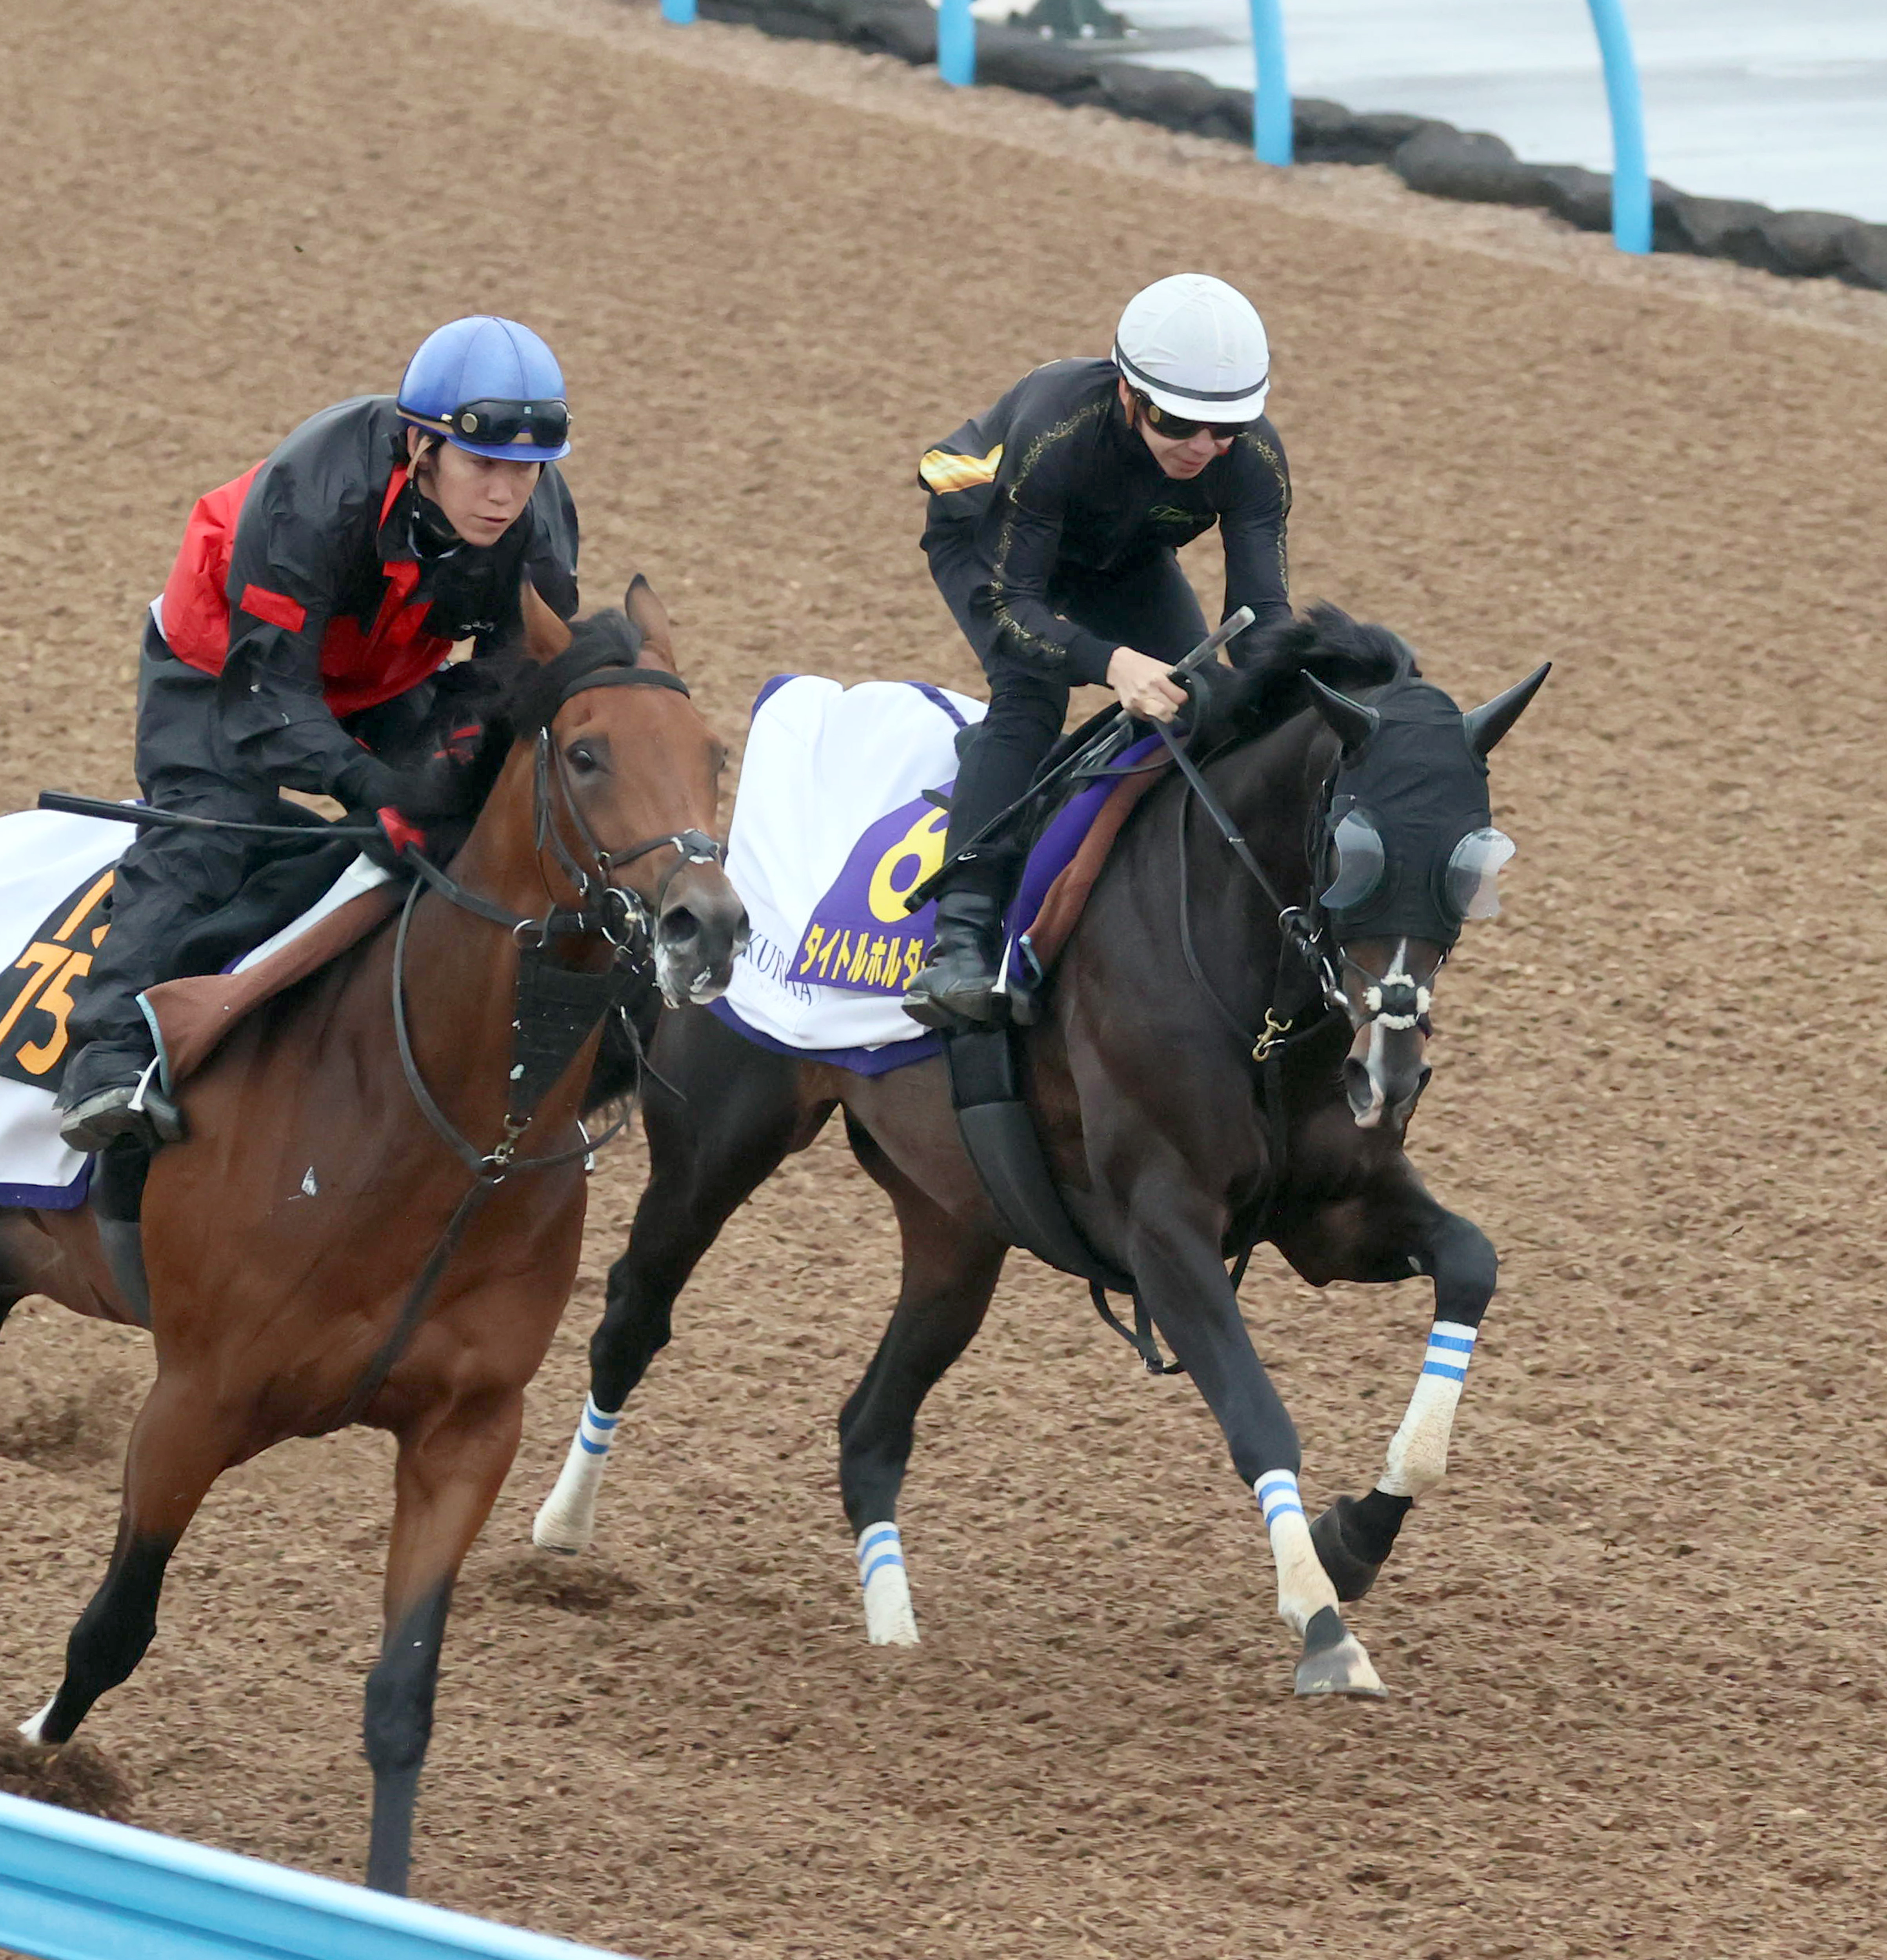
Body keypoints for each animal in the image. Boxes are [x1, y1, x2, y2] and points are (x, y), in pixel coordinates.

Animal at [0, 576, 752, 1882]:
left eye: (712, 754)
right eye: (588, 752)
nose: (705, 925)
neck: (447, 1124)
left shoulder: (468, 1430)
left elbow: (403, 1700)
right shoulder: (193, 1402)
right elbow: (115, 1626)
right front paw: (39, 1752)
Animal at [537, 607, 1544, 1701]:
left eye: (1473, 861)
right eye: (1358, 848)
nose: (1392, 1066)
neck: (1254, 990)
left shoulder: (1333, 1210)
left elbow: (1474, 1264)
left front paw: (1357, 1537)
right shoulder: (1162, 1227)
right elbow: (1257, 1414)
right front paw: (1323, 1624)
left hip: (956, 1224)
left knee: (870, 1426)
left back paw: (893, 1632)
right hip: (718, 1139)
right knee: (634, 1315)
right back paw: (560, 1532)